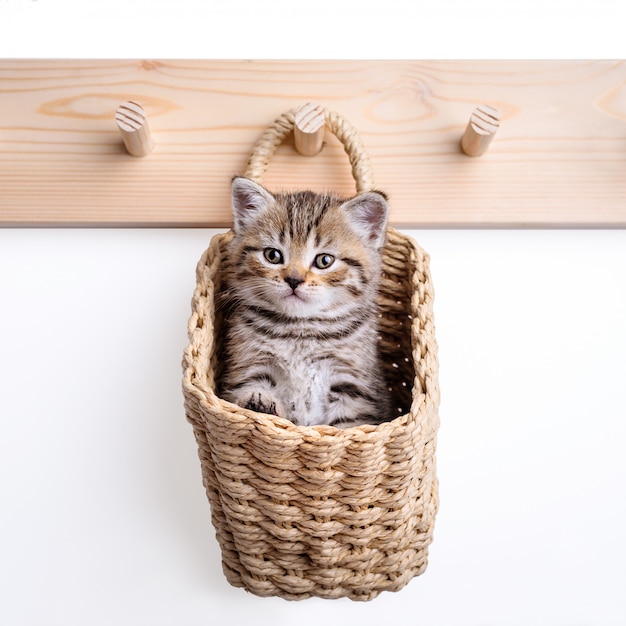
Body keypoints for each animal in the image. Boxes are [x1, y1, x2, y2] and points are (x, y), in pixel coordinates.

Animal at [221, 178, 390, 426]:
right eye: (272, 255)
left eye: (324, 260)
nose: (294, 279)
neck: (300, 331)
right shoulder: (249, 367)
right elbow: (248, 391)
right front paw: (258, 403)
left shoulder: (353, 385)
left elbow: (348, 425)